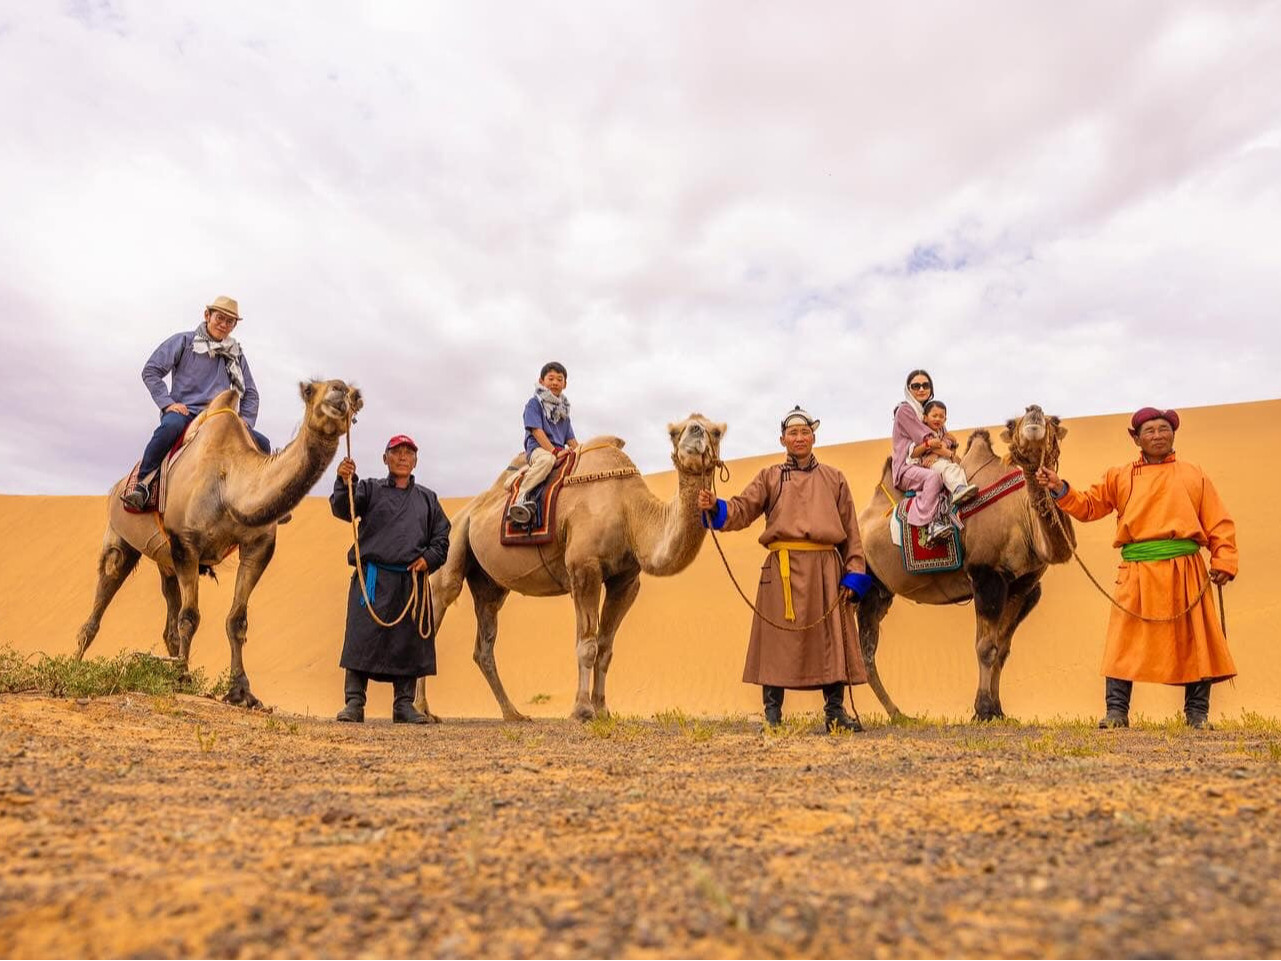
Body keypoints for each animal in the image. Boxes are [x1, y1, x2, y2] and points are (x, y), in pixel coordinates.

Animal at [76, 381, 361, 707]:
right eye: (311, 389)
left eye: (355, 396)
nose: (339, 392)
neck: (228, 486)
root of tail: (117, 487)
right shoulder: (186, 542)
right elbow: (190, 618)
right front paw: (182, 679)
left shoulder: (258, 545)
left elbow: (236, 621)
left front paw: (241, 691)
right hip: (120, 535)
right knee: (105, 589)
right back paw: (74, 666)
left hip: (165, 560)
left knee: (169, 612)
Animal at [417, 415, 727, 722]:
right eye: (675, 432)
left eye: (716, 432)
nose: (696, 433)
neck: (630, 511)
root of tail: (467, 510)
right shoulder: (583, 568)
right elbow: (587, 645)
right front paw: (582, 709)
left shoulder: (625, 580)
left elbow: (605, 647)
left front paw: (603, 709)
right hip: (454, 540)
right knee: (440, 603)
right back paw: (423, 711)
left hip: (489, 583)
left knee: (484, 641)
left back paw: (513, 713)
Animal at [855, 404, 1076, 722]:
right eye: (1012, 423)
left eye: (1054, 421)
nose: (1034, 411)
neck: (1020, 515)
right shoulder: (986, 575)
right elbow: (986, 648)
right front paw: (982, 710)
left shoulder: (1024, 586)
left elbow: (1002, 649)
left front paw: (998, 710)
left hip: (878, 590)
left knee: (866, 650)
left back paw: (898, 714)